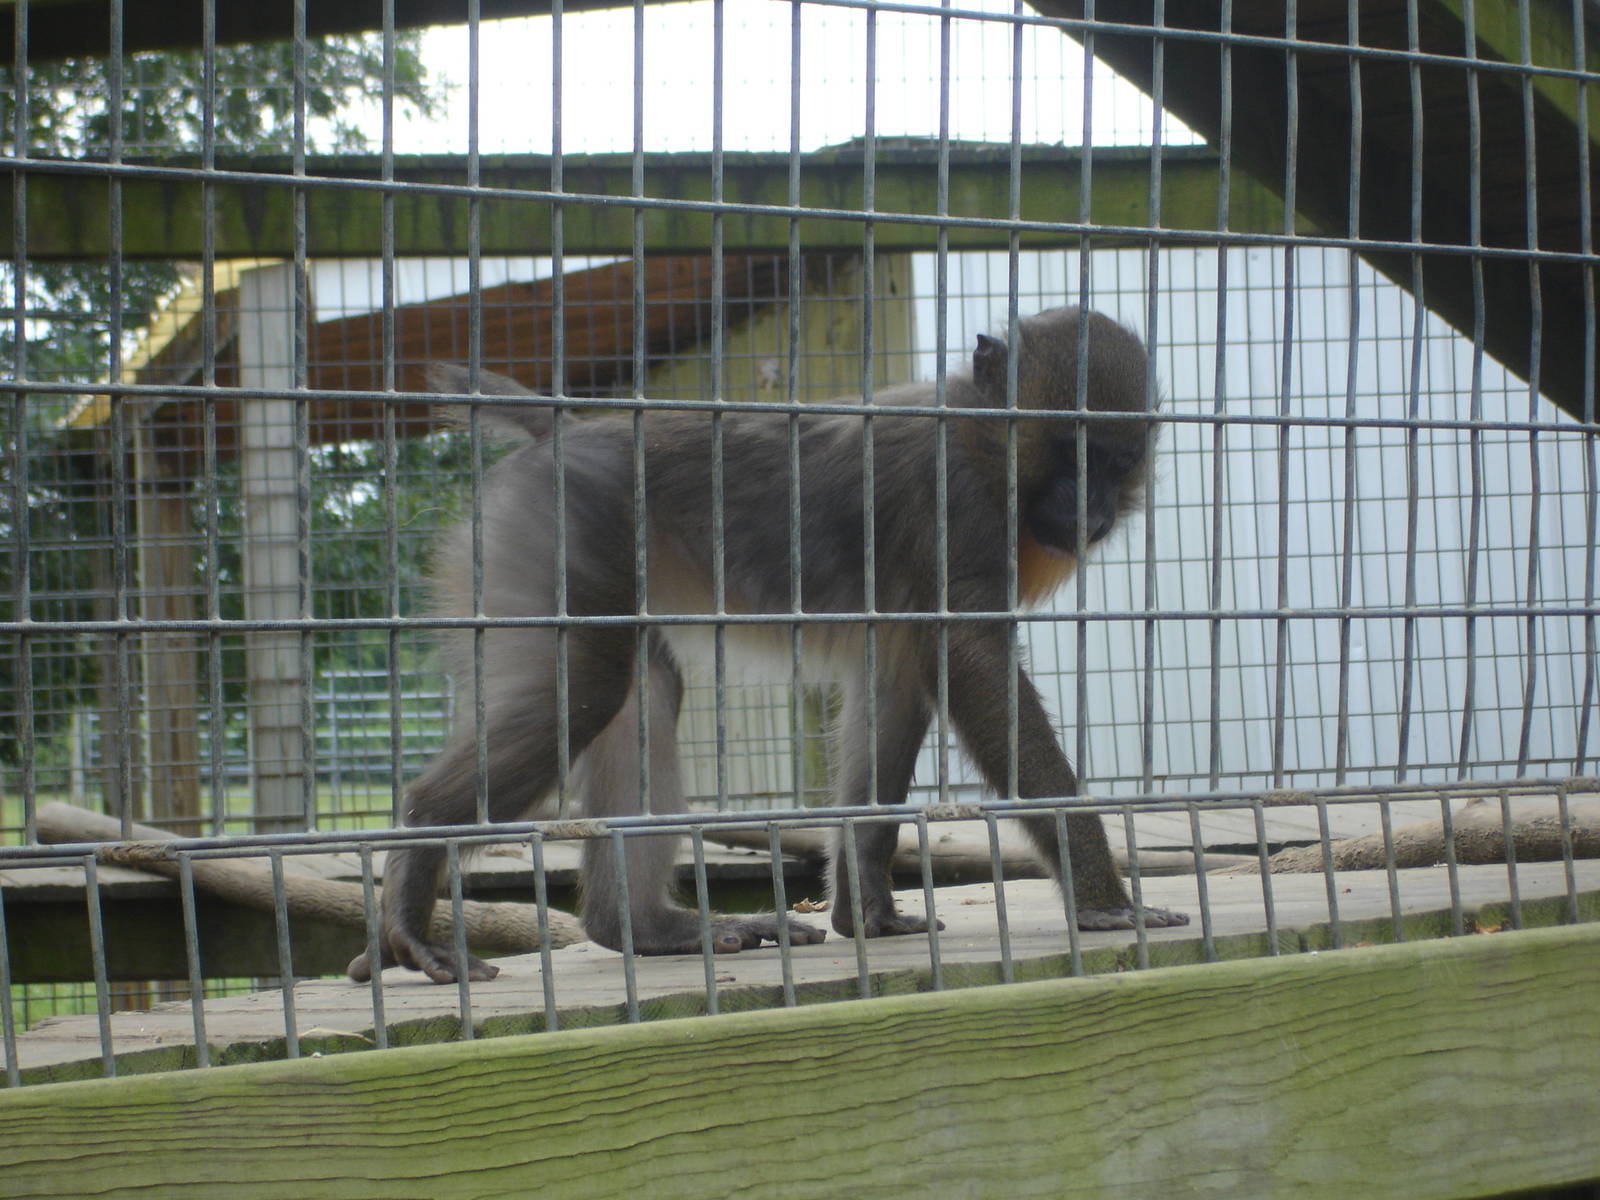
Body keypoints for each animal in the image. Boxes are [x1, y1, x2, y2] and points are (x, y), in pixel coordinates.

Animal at [347, 305, 1187, 985]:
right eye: (1072, 453)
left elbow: (897, 693)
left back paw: (643, 931)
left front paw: (867, 913)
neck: (984, 441)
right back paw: (418, 871)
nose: (1094, 511)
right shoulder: (957, 510)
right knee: (587, 684)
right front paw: (1104, 899)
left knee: (641, 690)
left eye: (1117, 463)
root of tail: (570, 427)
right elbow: (973, 665)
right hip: (563, 524)